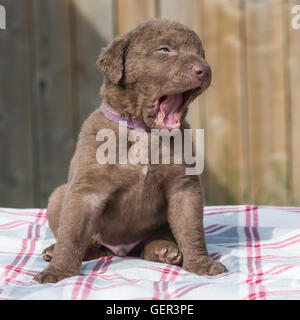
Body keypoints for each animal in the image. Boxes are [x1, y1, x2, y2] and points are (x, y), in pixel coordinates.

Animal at [33, 18, 227, 282]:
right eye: (164, 49)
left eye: (201, 54)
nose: (204, 70)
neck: (143, 131)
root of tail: (121, 250)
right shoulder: (87, 190)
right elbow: (72, 234)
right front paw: (58, 271)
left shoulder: (184, 187)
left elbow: (192, 230)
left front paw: (202, 265)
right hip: (60, 196)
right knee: (89, 245)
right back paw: (54, 252)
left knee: (154, 240)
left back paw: (165, 250)